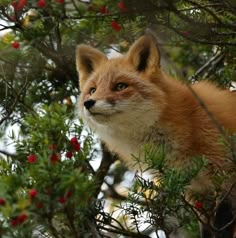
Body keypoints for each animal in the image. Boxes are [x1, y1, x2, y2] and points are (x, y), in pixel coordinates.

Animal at [76, 35, 236, 238]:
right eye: (93, 90)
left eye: (120, 86)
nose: (89, 103)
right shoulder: (197, 190)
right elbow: (207, 229)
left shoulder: (226, 172)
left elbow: (223, 220)